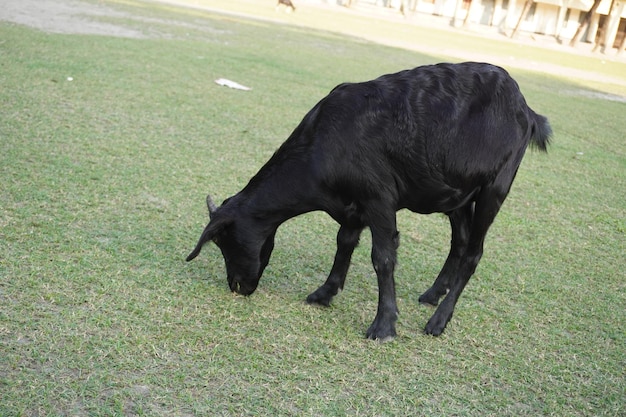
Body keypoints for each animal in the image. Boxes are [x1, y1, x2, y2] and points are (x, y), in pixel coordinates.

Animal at [184, 61, 544, 338]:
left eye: (225, 241)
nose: (237, 286)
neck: (322, 147)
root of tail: (527, 111)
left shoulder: (378, 198)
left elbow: (382, 258)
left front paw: (383, 325)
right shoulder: (352, 205)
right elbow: (344, 242)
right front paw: (324, 293)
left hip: (495, 186)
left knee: (473, 253)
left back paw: (438, 320)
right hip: (457, 193)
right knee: (460, 241)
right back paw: (432, 294)